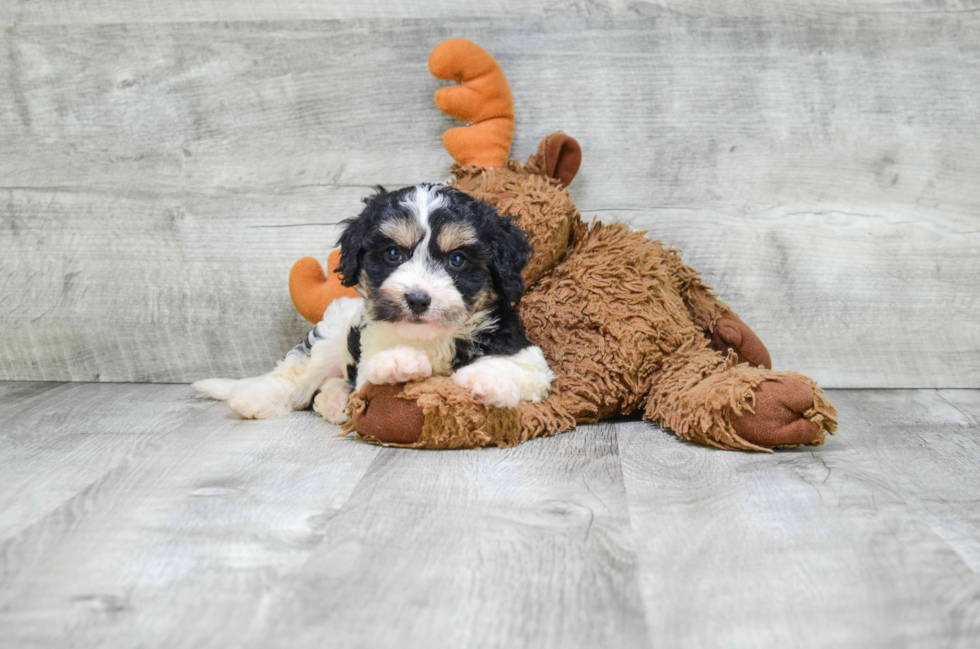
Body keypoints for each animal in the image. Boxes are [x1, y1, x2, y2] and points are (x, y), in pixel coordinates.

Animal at [195, 185, 556, 422]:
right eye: (393, 254)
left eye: (457, 260)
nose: (417, 299)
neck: (430, 337)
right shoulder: (367, 352)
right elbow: (371, 373)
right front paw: (399, 362)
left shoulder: (526, 354)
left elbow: (519, 368)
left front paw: (489, 381)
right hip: (330, 338)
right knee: (296, 376)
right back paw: (253, 399)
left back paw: (334, 402)